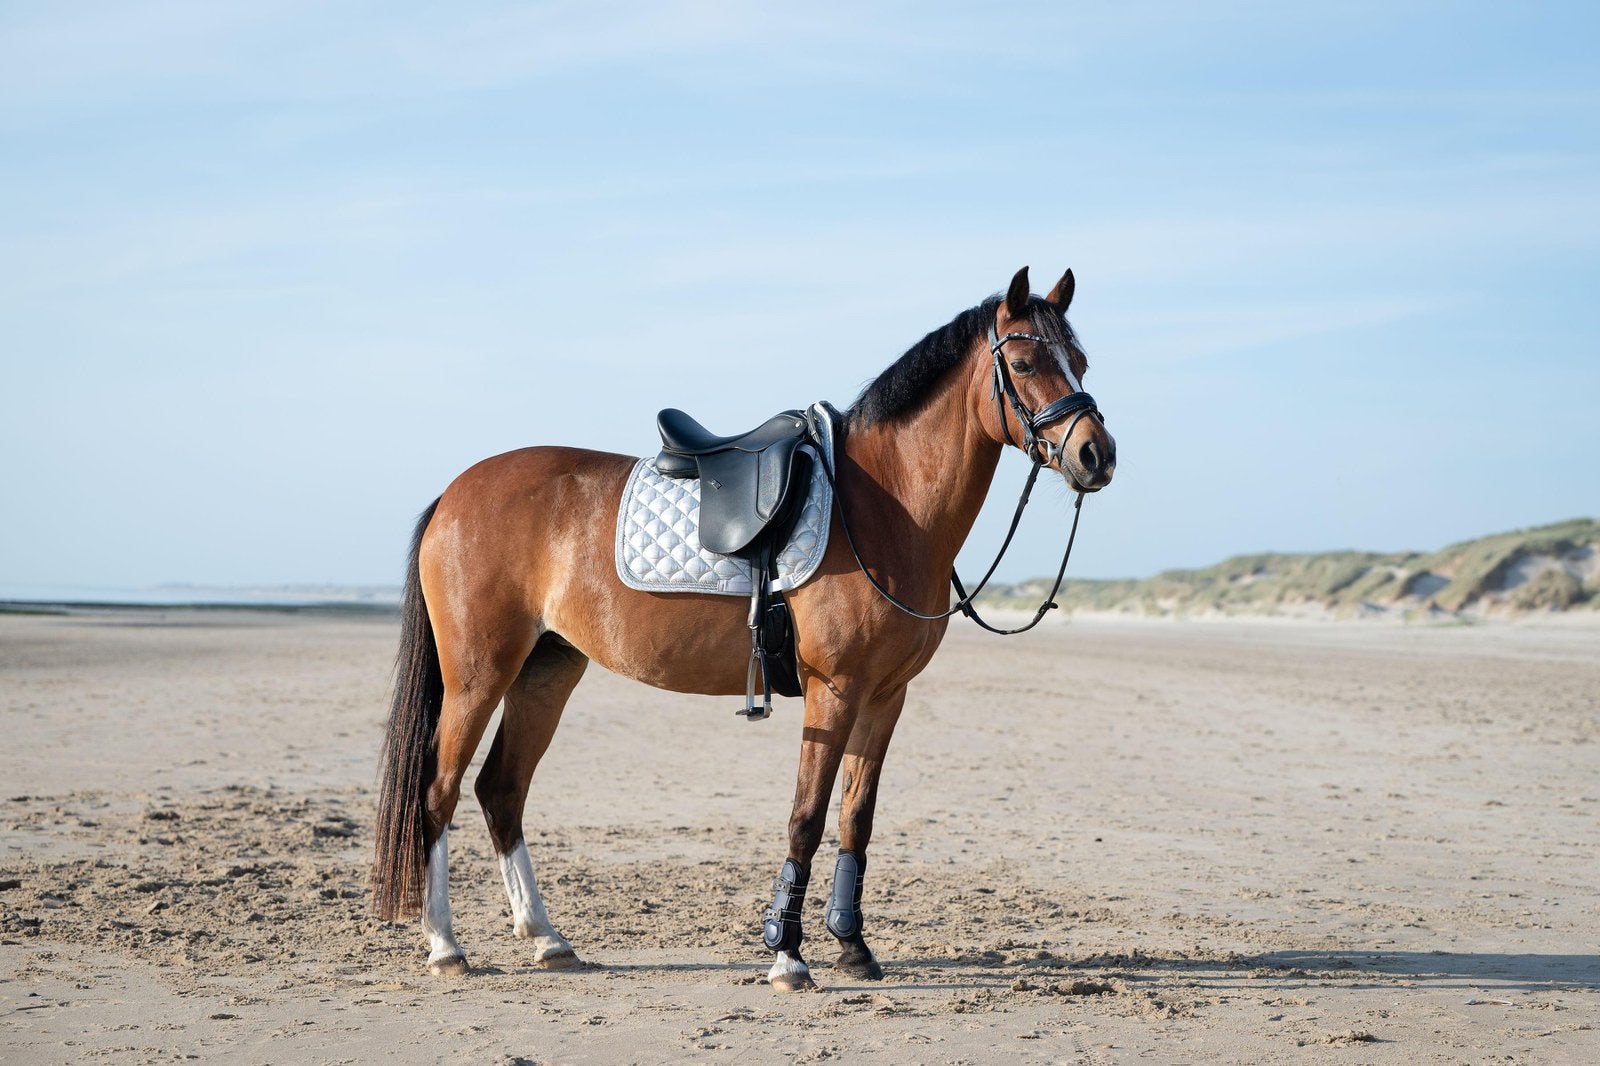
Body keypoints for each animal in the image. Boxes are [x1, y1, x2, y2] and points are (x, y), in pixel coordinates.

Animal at [371, 266, 1117, 992]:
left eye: (1080, 360)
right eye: (1022, 362)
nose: (1096, 455)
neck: (883, 506)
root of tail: (456, 493)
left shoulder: (885, 696)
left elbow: (856, 817)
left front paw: (853, 947)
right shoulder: (834, 691)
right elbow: (807, 816)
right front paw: (787, 955)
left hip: (547, 670)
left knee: (501, 789)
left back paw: (547, 939)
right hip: (479, 675)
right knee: (437, 791)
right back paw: (445, 946)